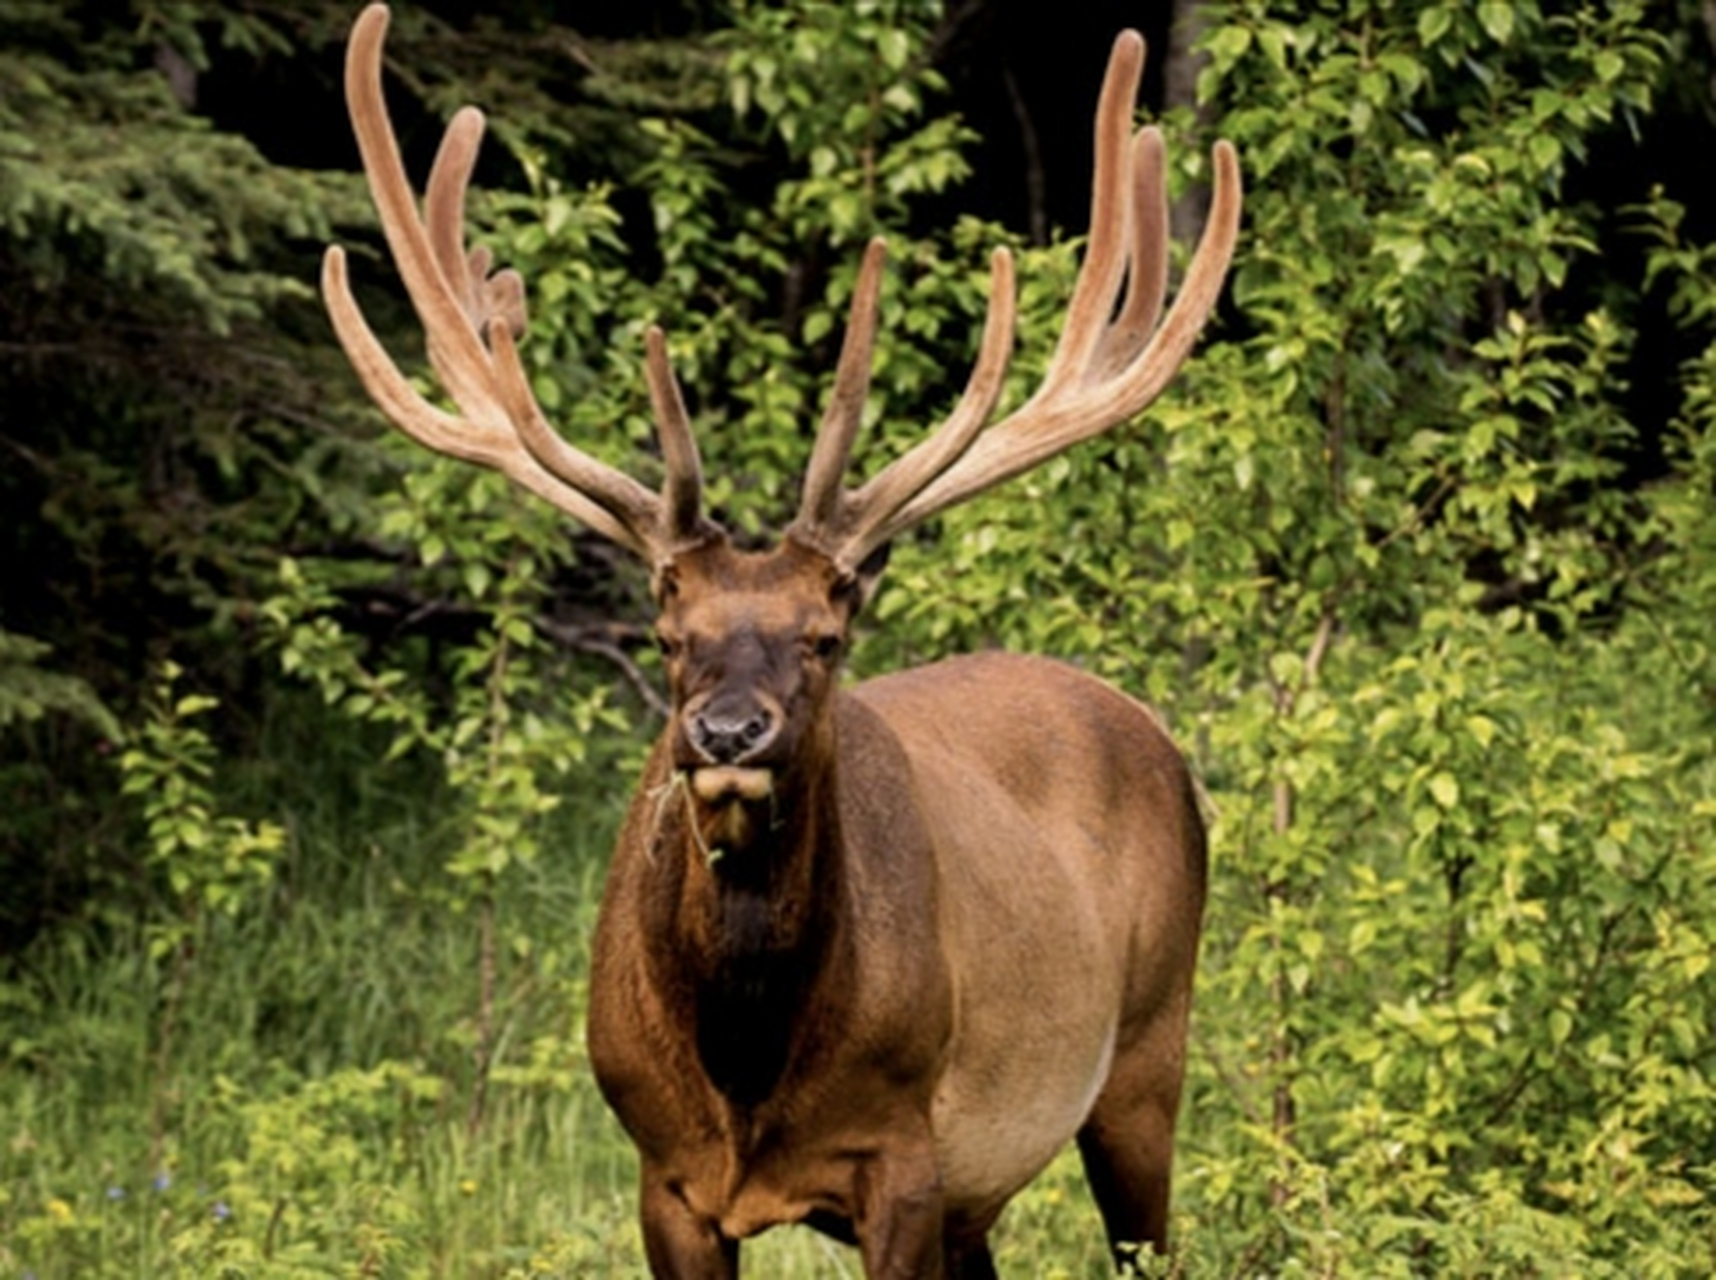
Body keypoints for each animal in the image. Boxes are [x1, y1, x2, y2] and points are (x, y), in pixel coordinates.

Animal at [319, 4, 1235, 1269]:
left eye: (824, 632)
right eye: (667, 628)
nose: (727, 733)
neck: (745, 1075)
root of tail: (1151, 730)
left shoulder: (905, 1155)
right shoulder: (664, 1173)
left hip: (1148, 1053)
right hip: (996, 1181)